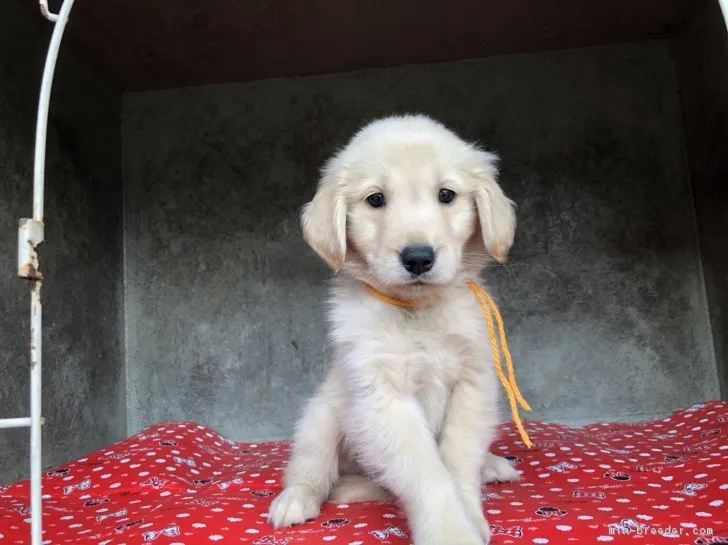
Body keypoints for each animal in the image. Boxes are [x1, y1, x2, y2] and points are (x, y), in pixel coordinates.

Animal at [270, 115, 520, 544]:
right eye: (375, 200)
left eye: (446, 194)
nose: (418, 257)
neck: (417, 312)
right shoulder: (383, 396)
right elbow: (428, 473)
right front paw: (451, 531)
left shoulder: (472, 383)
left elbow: (457, 458)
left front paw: (470, 513)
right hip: (320, 417)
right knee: (310, 467)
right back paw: (295, 501)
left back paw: (493, 465)